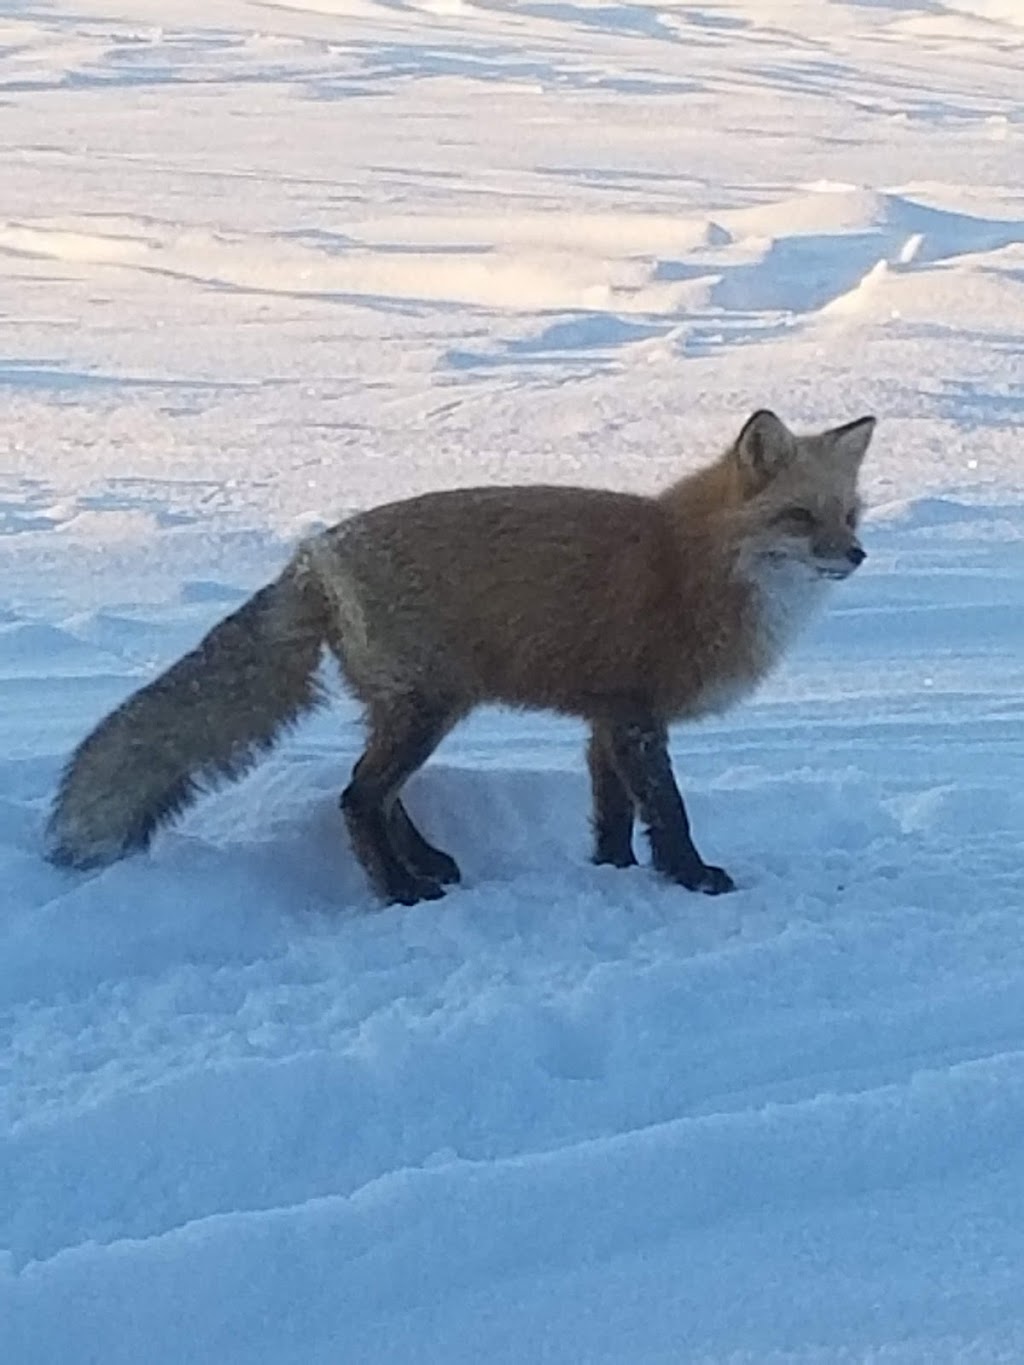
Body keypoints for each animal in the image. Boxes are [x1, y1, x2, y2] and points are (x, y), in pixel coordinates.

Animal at [46, 412, 873, 906]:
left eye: (850, 515)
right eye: (800, 517)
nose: (859, 555)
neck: (697, 560)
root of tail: (312, 555)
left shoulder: (605, 717)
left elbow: (612, 813)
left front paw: (612, 874)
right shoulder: (637, 716)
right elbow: (667, 810)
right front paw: (694, 877)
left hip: (413, 710)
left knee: (377, 793)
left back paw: (427, 863)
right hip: (428, 709)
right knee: (356, 797)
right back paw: (400, 890)